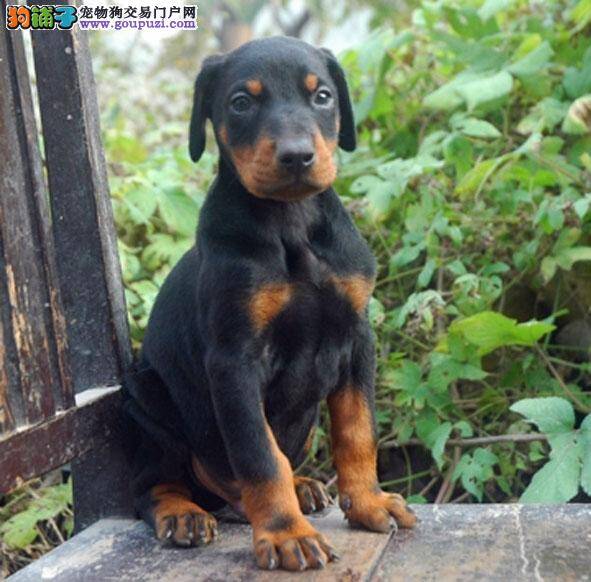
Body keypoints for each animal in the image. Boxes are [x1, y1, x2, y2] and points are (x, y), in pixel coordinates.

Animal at [123, 36, 416, 572]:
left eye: (322, 96)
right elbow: (259, 455)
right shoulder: (234, 359)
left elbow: (357, 430)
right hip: (145, 400)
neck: (291, 220)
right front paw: (284, 535)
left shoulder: (357, 337)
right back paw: (183, 514)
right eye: (241, 102)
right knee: (155, 481)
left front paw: (369, 504)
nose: (297, 156)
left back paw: (302, 488)